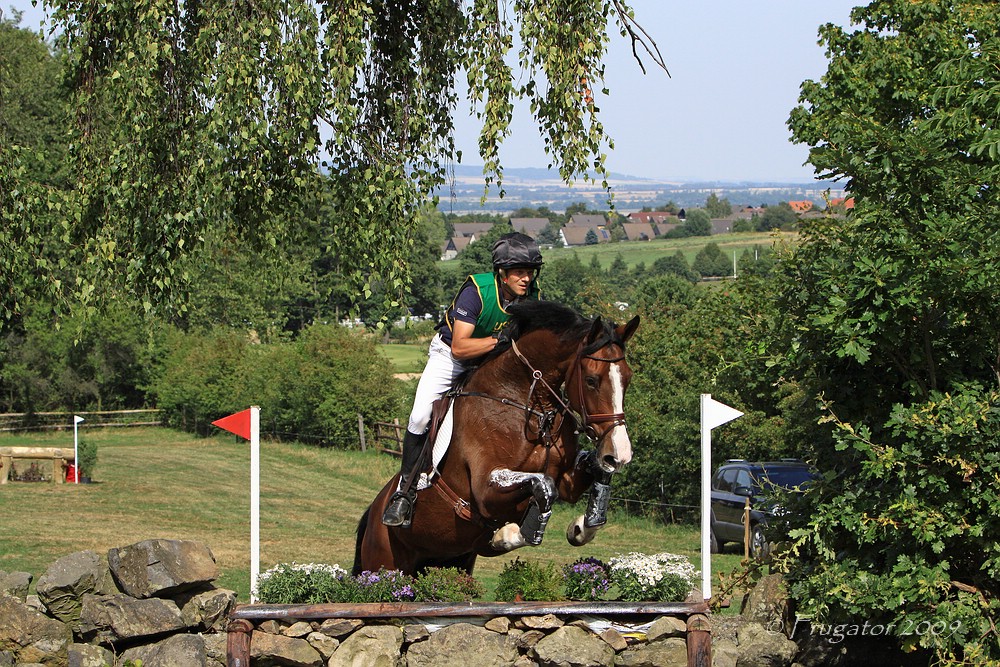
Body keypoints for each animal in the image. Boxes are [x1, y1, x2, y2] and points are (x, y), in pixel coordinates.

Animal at [354, 300, 640, 576]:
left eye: (628, 378)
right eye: (591, 380)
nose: (620, 454)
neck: (530, 408)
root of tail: (374, 512)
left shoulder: (566, 479)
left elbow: (593, 473)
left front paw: (580, 526)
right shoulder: (485, 488)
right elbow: (544, 486)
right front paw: (506, 534)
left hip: (451, 563)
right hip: (385, 561)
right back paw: (397, 509)